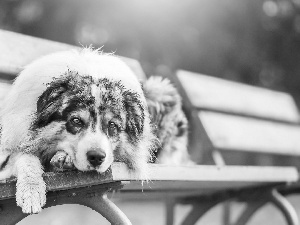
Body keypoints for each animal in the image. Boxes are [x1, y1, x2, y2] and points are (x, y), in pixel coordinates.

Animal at [0, 48, 155, 214]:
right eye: (76, 121)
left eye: (112, 125)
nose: (96, 157)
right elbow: (26, 159)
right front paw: (31, 193)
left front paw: (63, 159)